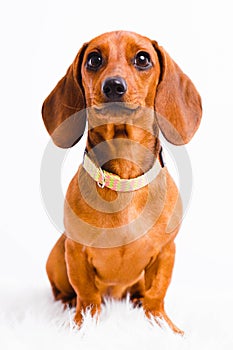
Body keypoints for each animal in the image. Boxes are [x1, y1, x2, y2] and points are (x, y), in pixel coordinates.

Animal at [42, 31, 202, 334]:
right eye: (94, 59)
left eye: (142, 58)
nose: (114, 86)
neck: (125, 178)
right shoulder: (76, 252)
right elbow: (88, 296)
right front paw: (82, 326)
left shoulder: (166, 252)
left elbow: (156, 294)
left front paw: (164, 326)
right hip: (57, 255)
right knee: (65, 292)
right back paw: (68, 305)